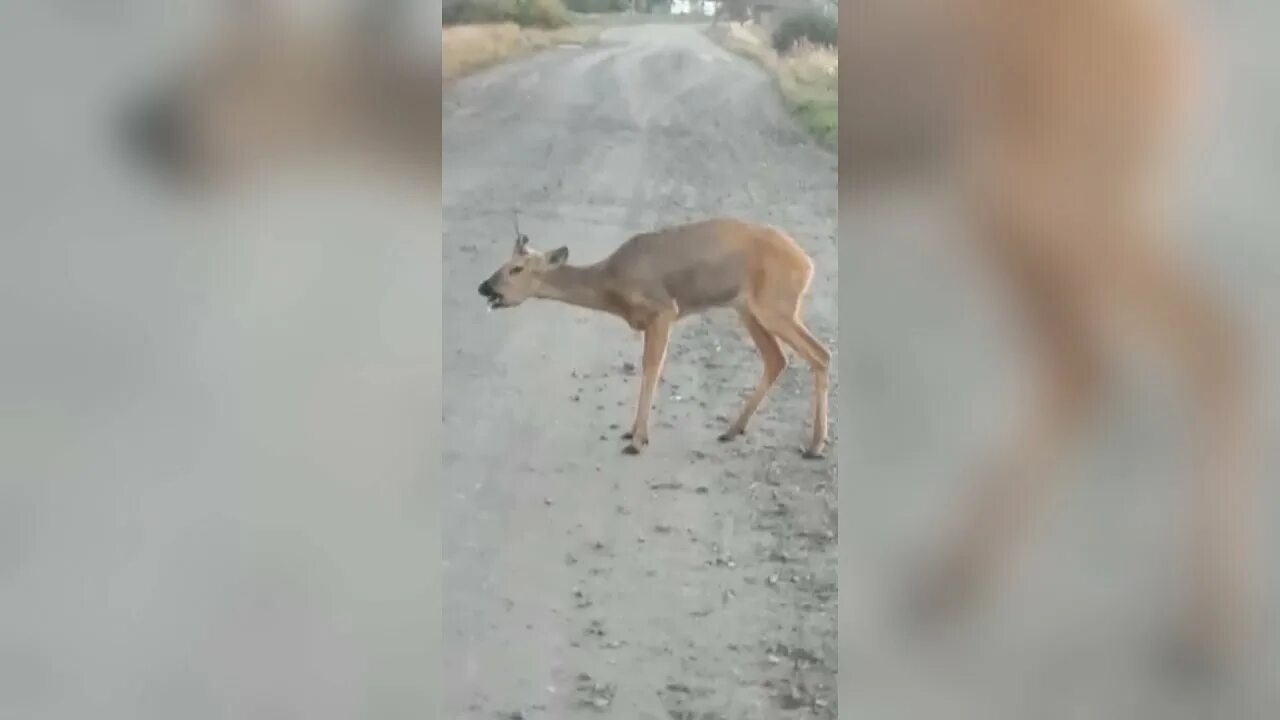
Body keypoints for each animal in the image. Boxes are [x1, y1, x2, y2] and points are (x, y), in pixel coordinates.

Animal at [478, 215, 829, 456]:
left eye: (517, 269)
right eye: (504, 263)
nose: (484, 286)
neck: (612, 284)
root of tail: (808, 263)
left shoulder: (664, 310)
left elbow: (651, 368)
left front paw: (637, 438)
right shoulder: (651, 321)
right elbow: (648, 368)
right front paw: (633, 432)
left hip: (776, 304)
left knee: (820, 353)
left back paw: (814, 446)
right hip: (748, 308)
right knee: (777, 358)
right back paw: (732, 430)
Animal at [855, 0, 1254, 661]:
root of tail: (1176, 49)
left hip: (1054, 200)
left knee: (1197, 341)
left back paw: (1204, 627)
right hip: (1023, 207)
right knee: (1097, 362)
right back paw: (953, 574)